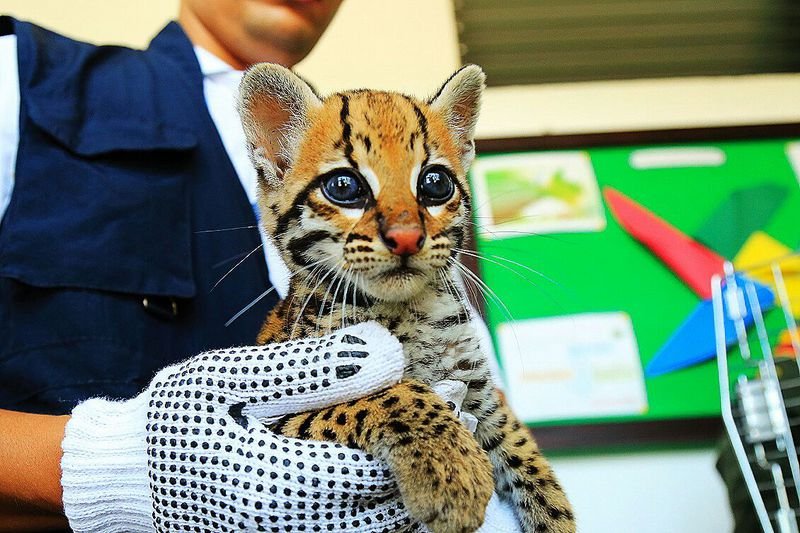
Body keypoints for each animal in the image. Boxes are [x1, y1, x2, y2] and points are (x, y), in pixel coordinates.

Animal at [238, 63, 576, 532]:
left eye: (435, 183)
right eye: (344, 186)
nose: (406, 237)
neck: (413, 311)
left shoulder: (484, 399)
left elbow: (531, 464)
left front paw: (553, 516)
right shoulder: (271, 416)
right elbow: (387, 393)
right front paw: (454, 470)